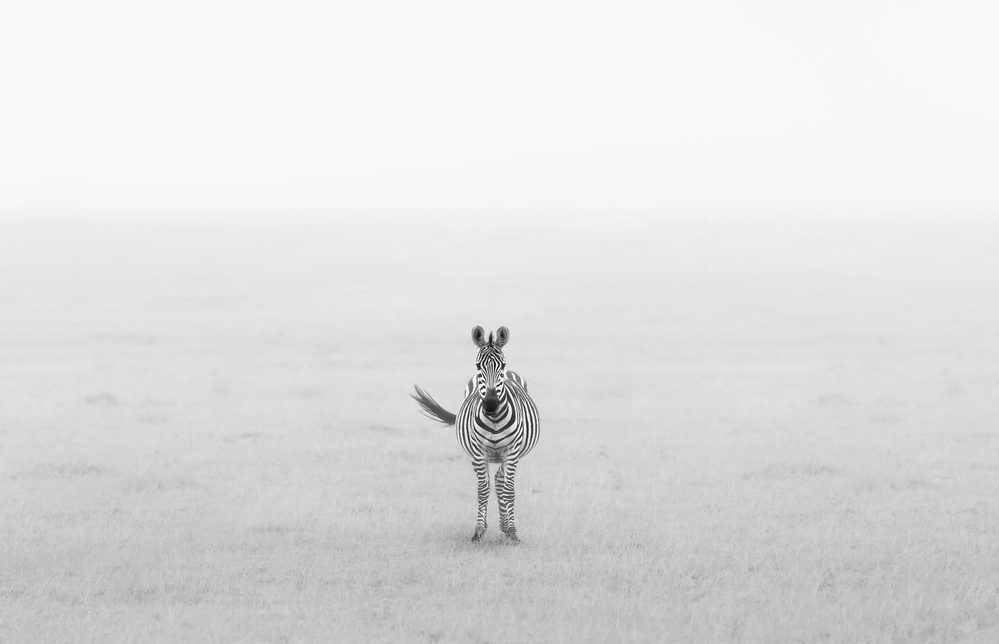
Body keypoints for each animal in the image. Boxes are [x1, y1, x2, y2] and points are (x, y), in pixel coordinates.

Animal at [411, 325, 541, 543]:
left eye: (502, 364)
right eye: (478, 365)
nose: (490, 404)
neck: (495, 419)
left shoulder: (512, 451)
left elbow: (509, 490)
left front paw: (513, 533)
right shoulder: (479, 453)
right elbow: (482, 490)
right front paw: (479, 531)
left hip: (507, 455)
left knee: (500, 481)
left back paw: (506, 527)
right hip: (478, 454)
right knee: (494, 481)